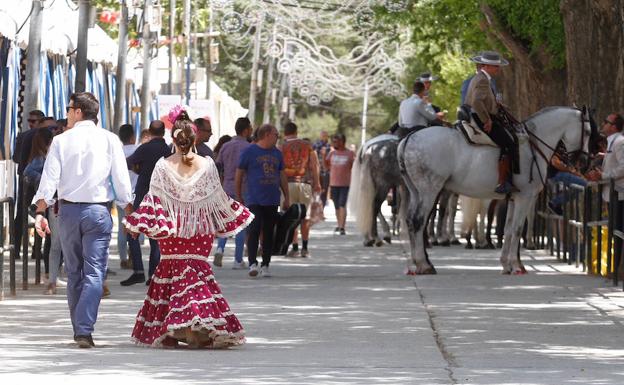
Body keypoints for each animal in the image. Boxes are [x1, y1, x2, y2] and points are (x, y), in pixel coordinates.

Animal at [400, 106, 596, 272]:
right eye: (587, 132)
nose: (585, 163)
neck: (532, 145)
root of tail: (409, 138)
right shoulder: (525, 197)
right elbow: (517, 228)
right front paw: (516, 265)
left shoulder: (514, 198)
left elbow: (509, 229)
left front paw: (507, 264)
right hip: (430, 190)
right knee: (419, 221)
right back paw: (424, 264)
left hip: (417, 192)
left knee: (411, 220)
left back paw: (417, 263)